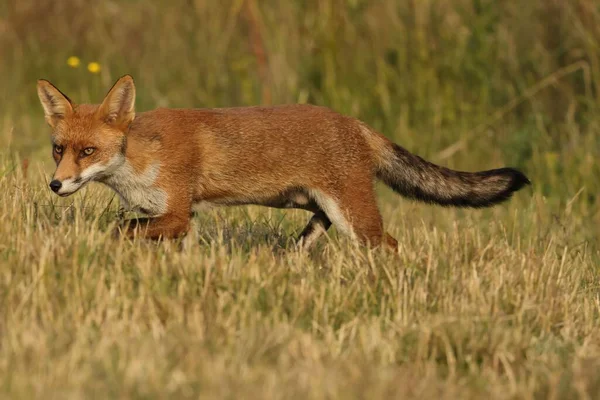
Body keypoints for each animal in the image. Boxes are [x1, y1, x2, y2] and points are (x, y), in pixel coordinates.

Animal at [36, 75, 528, 250]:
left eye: (88, 152)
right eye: (59, 149)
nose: (55, 185)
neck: (139, 157)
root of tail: (356, 123)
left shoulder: (176, 213)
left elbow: (118, 231)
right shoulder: (172, 217)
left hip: (353, 217)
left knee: (388, 245)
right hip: (312, 206)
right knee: (311, 238)